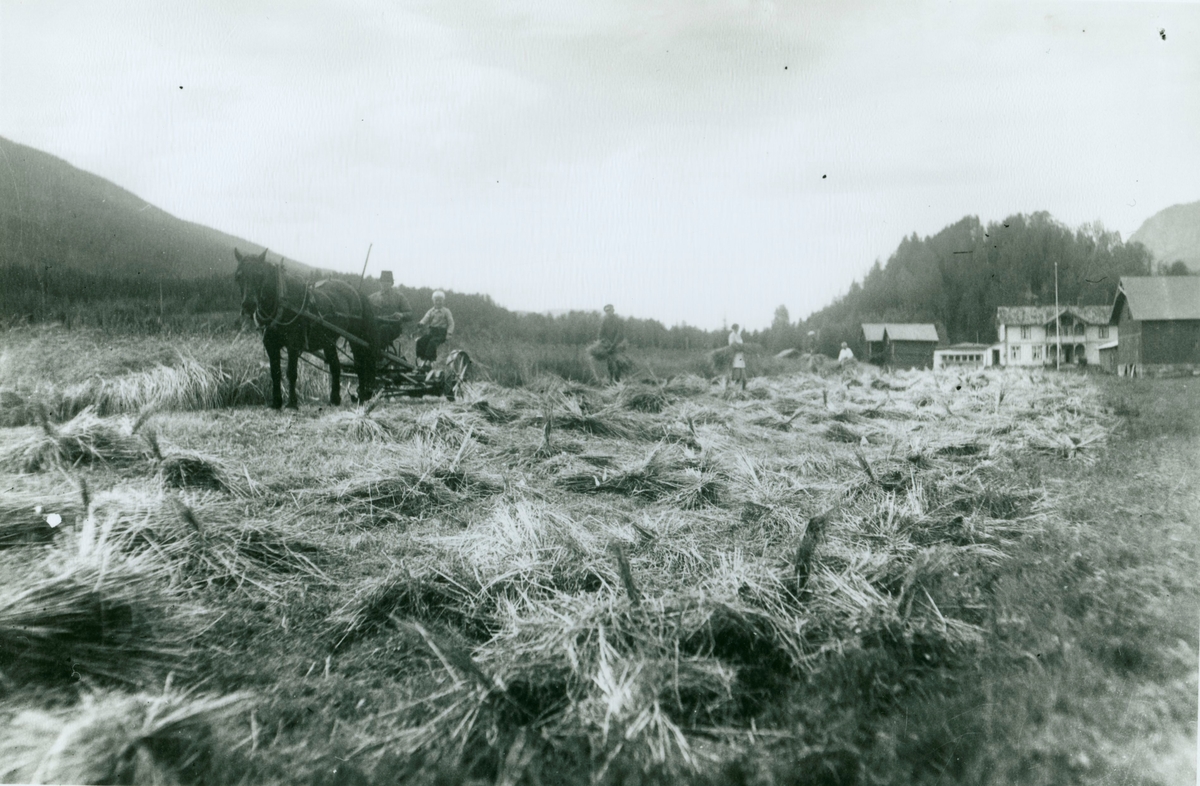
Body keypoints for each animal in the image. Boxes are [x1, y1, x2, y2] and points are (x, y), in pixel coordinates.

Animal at [231, 250, 376, 412]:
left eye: (260, 274)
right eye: (238, 276)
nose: (248, 305)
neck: (282, 302)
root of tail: (355, 290)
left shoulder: (293, 344)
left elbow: (291, 373)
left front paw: (292, 403)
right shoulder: (271, 345)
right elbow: (275, 373)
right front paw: (276, 402)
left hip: (356, 337)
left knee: (360, 365)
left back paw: (362, 397)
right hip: (328, 340)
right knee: (335, 365)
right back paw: (334, 399)